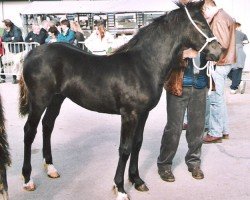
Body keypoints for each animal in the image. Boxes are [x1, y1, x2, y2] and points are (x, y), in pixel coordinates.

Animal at [19, 1, 222, 198]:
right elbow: (124, 149)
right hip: (39, 100)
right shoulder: (129, 115)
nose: (219, 51)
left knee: (47, 126)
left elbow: (137, 144)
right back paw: (28, 179)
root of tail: (31, 54)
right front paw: (121, 188)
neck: (143, 65)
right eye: (201, 23)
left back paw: (51, 168)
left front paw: (137, 180)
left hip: (56, 99)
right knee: (29, 131)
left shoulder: (143, 114)